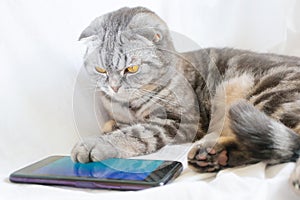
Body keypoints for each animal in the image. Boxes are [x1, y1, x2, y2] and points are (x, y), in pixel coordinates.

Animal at [71, 5, 300, 191]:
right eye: (101, 70)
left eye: (132, 68)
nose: (114, 86)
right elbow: (115, 124)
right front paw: (112, 127)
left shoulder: (178, 122)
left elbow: (137, 134)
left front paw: (95, 144)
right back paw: (214, 156)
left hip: (270, 96)